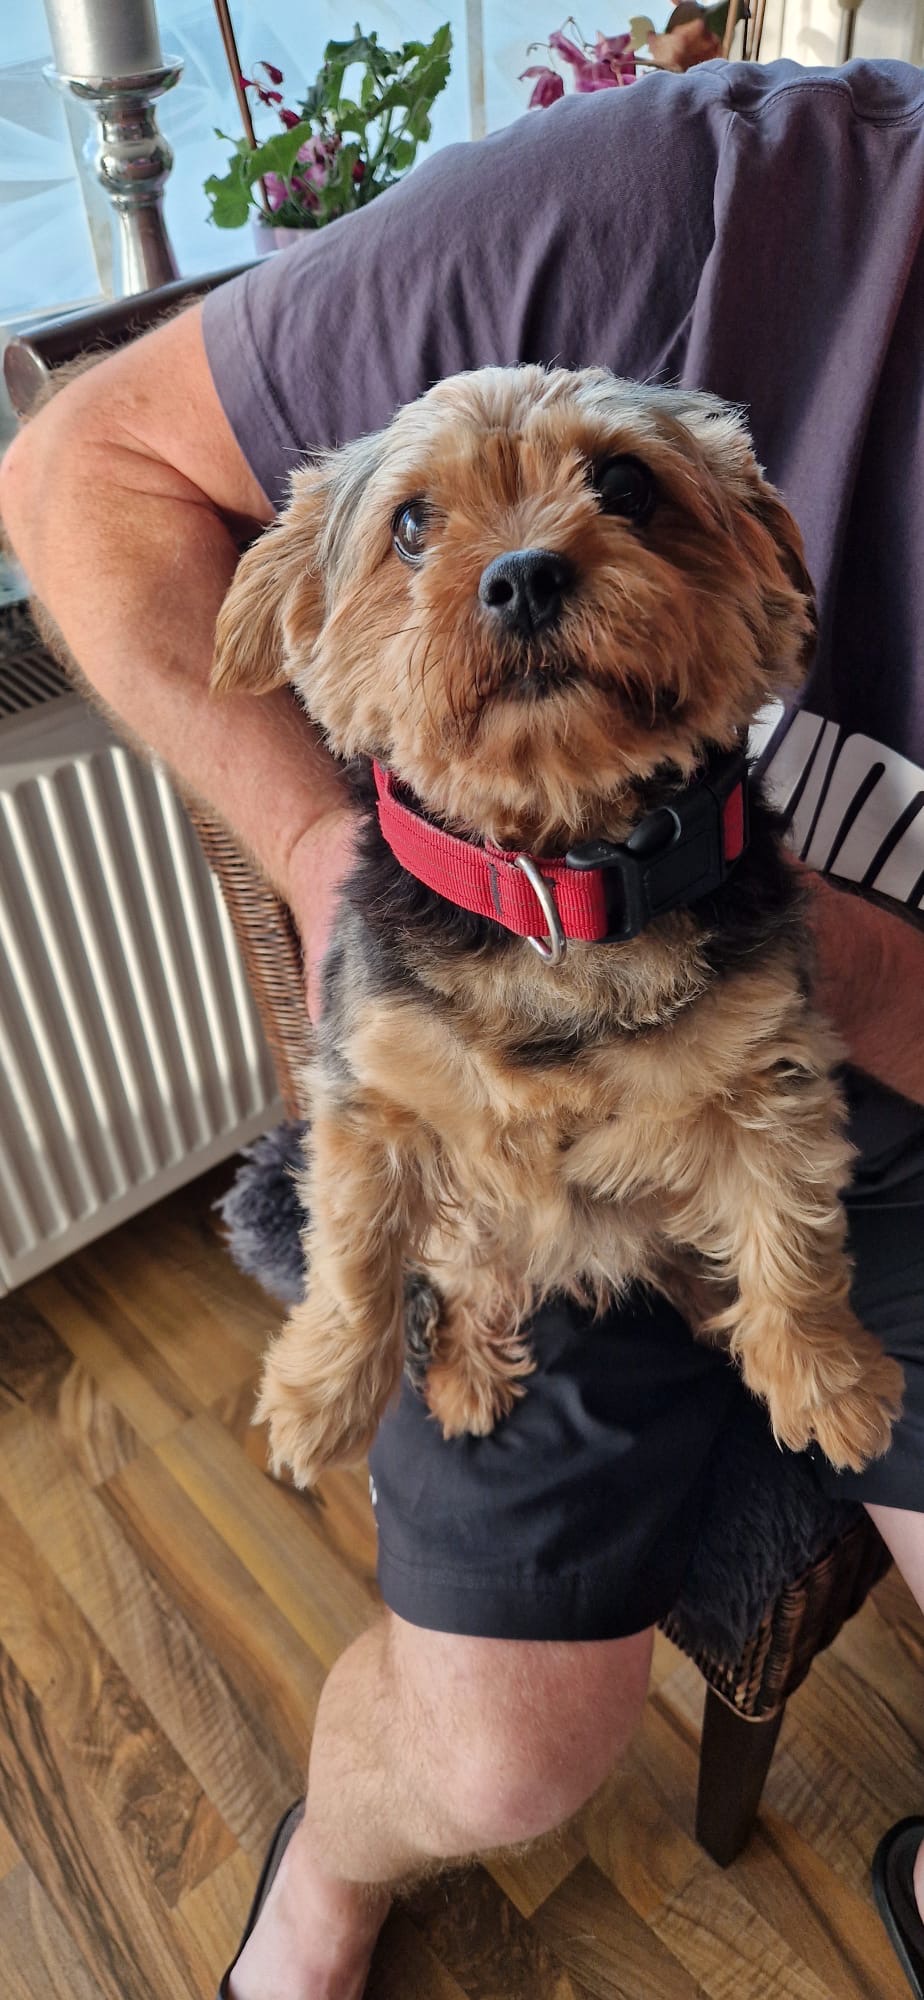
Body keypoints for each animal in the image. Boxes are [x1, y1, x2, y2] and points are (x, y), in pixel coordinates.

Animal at [212, 365, 904, 1489]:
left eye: (626, 485)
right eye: (412, 523)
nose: (525, 575)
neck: (560, 882)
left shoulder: (768, 1060)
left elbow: (790, 1223)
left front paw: (825, 1379)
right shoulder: (375, 1087)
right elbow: (353, 1254)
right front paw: (319, 1398)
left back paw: (712, 1304)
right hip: (474, 1218)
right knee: (466, 1273)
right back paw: (464, 1375)